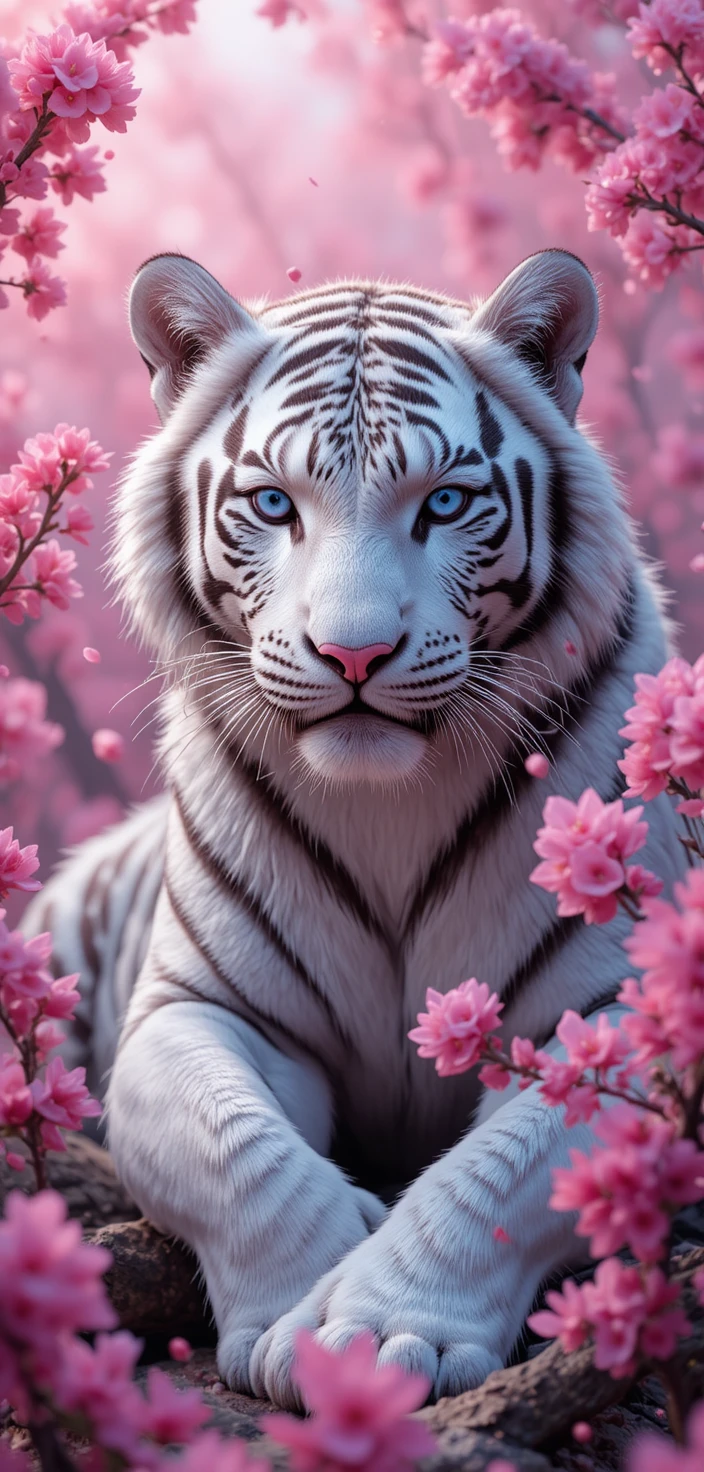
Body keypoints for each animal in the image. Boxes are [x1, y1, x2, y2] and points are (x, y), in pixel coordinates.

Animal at [26, 247, 683, 1408]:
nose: (355, 654)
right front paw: (314, 1321)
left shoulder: (621, 1011)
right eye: (272, 503)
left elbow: (501, 1171)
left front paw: (379, 1330)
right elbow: (239, 1148)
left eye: (447, 502)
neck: (388, 803)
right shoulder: (198, 1009)